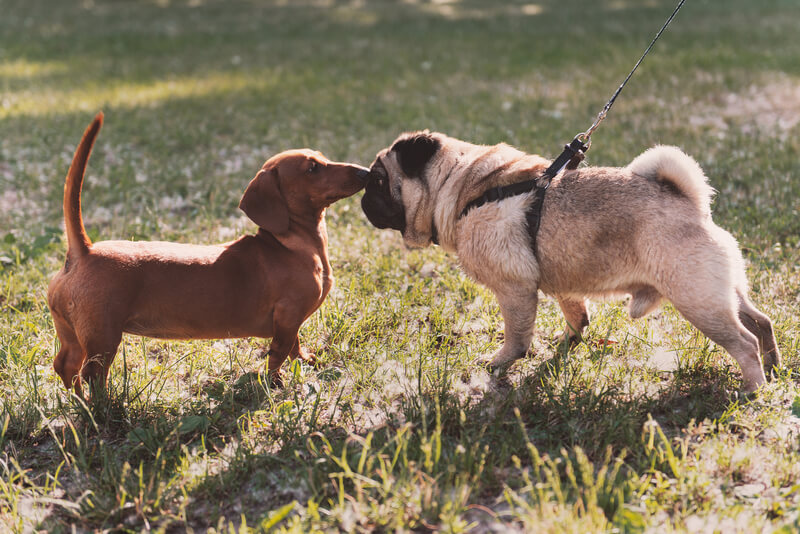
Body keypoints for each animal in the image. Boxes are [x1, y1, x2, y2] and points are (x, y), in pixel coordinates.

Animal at [362, 132, 780, 396]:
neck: (463, 189)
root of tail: (692, 205)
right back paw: (774, 367)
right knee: (760, 323)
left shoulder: (514, 290)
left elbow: (516, 337)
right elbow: (576, 316)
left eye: (379, 180)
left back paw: (753, 389)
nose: (364, 198)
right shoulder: (563, 287)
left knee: (743, 342)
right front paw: (568, 344)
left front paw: (500, 364)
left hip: (697, 300)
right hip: (722, 294)